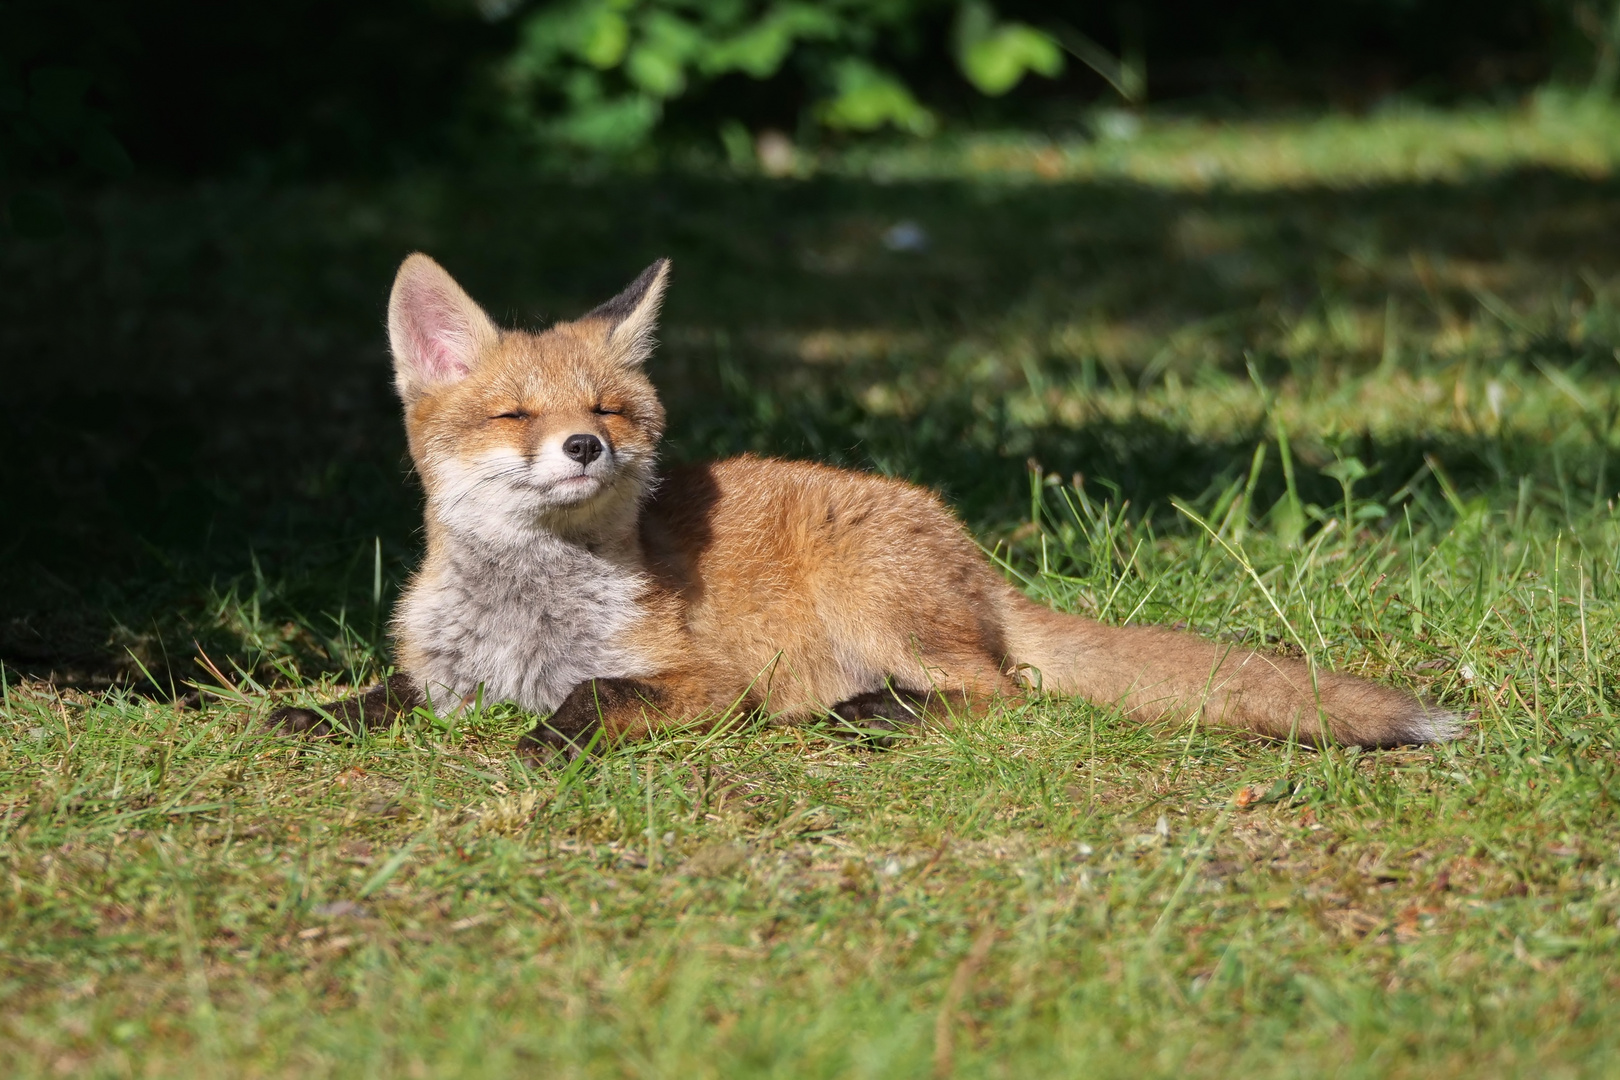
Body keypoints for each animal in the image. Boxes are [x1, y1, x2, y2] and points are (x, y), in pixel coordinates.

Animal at [262, 254, 1458, 761]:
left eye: (608, 407)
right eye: (514, 413)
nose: (587, 446)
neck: (529, 615)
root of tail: (973, 554)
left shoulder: (705, 681)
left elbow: (595, 695)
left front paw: (546, 738)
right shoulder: (444, 675)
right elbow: (385, 696)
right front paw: (317, 715)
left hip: (877, 606)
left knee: (1005, 693)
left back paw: (867, 717)